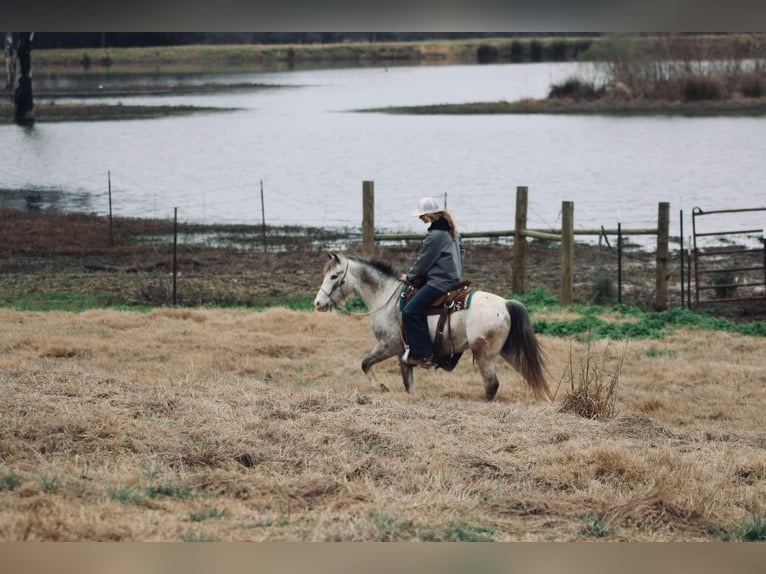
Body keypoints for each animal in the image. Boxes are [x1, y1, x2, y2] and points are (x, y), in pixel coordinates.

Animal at [316, 254, 556, 402]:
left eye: (335, 276)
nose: (318, 303)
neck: (385, 296)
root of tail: (505, 304)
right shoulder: (404, 354)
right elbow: (408, 383)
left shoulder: (390, 345)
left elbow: (365, 363)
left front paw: (380, 387)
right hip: (507, 351)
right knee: (528, 373)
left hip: (484, 354)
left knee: (492, 385)